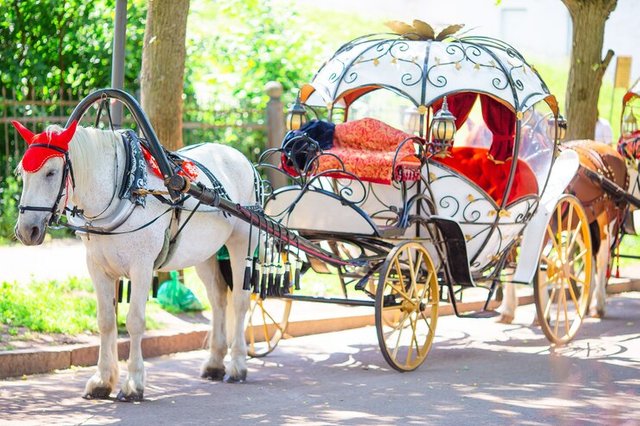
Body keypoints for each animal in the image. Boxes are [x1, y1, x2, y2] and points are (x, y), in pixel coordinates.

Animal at [12, 121, 258, 402]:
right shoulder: (97, 268)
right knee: (218, 300)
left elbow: (135, 322)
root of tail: (240, 157)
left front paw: (133, 384)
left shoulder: (142, 267)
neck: (126, 188)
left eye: (51, 173)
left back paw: (237, 365)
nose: (26, 230)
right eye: (22, 172)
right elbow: (106, 321)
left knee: (240, 302)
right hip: (205, 254)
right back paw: (215, 363)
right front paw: (102, 380)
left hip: (242, 242)